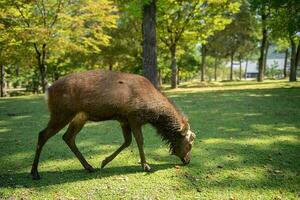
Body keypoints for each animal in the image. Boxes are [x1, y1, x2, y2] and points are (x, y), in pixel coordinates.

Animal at [29, 70, 195, 180]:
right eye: (189, 144)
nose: (188, 161)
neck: (154, 114)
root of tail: (47, 91)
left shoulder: (123, 119)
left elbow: (127, 141)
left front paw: (104, 161)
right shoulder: (134, 117)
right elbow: (139, 141)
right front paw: (146, 166)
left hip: (80, 116)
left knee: (68, 137)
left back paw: (89, 167)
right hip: (61, 113)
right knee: (42, 134)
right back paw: (35, 172)